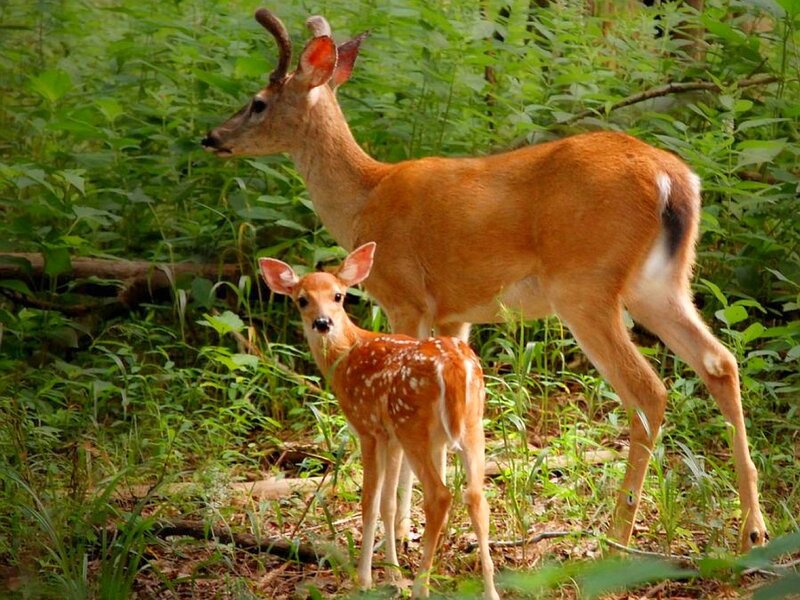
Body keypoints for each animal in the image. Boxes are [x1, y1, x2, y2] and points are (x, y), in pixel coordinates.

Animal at [202, 8, 768, 552]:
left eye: (257, 103)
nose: (212, 138)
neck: (366, 196)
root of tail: (676, 179)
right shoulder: (456, 314)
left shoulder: (405, 297)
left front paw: (399, 533)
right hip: (661, 284)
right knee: (721, 362)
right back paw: (752, 529)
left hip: (584, 284)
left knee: (649, 392)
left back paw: (618, 538)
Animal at [259, 242, 500, 599]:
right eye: (302, 299)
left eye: (338, 296)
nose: (322, 323)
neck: (347, 356)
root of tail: (456, 367)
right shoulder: (391, 438)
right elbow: (389, 503)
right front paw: (392, 573)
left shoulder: (369, 429)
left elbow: (370, 501)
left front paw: (366, 578)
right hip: (471, 425)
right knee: (476, 497)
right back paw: (489, 590)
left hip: (412, 425)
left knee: (440, 495)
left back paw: (421, 588)